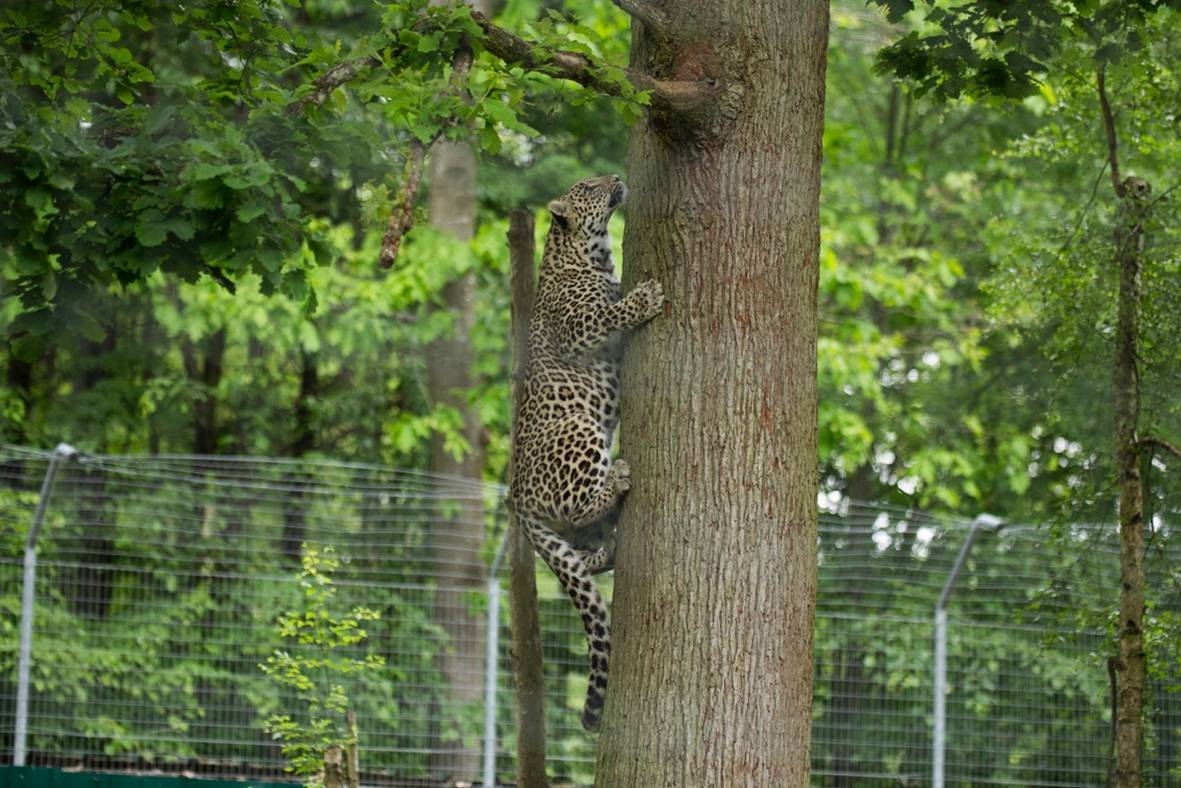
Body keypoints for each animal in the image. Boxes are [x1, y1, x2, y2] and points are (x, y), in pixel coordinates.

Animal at [510, 172, 666, 732]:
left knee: (584, 555)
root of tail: (515, 499)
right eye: (589, 185)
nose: (616, 176)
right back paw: (616, 481)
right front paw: (645, 298)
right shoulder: (580, 327)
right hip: (579, 426)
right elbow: (611, 312)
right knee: (581, 506)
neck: (586, 253)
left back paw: (613, 547)